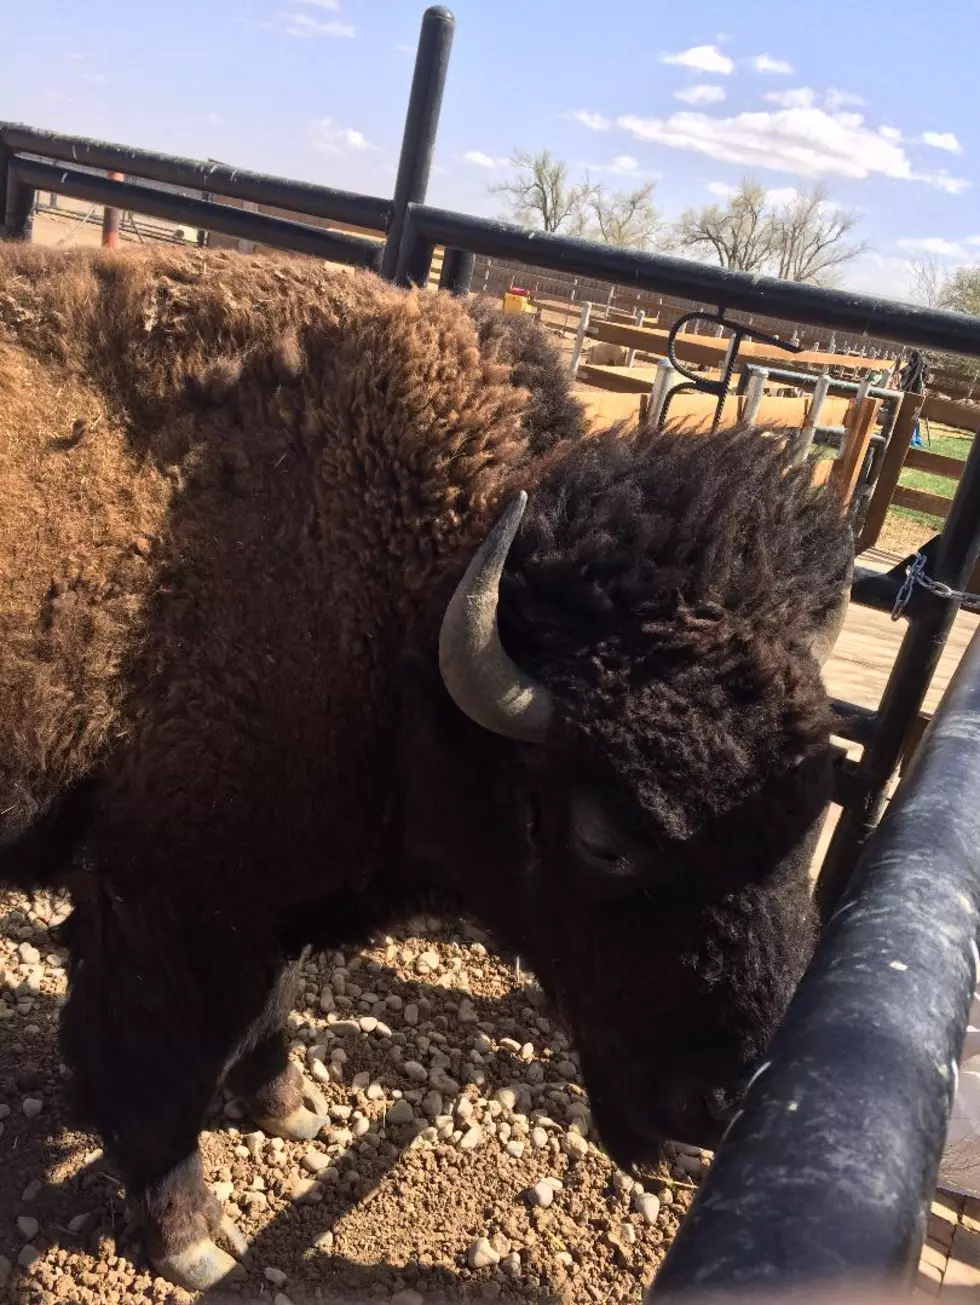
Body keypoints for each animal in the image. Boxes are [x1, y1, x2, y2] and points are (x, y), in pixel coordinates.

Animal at [0, 242, 850, 1284]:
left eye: (816, 811)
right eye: (603, 837)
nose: (722, 1105)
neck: (406, 597)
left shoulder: (268, 888)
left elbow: (268, 1009)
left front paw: (291, 1106)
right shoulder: (170, 895)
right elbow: (159, 1062)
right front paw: (190, 1235)